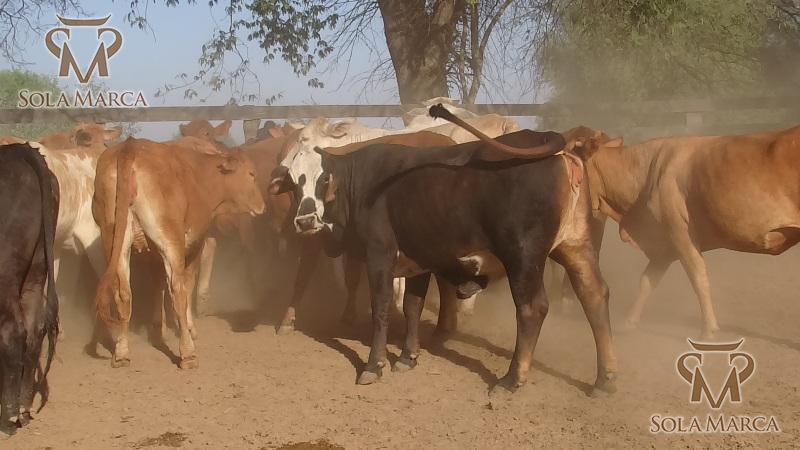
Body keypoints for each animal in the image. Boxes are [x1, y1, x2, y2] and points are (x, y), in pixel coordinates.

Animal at [91, 138, 265, 369]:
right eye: (252, 174)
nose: (262, 206)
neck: (201, 174)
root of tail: (130, 148)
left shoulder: (153, 254)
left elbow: (157, 284)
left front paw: (159, 327)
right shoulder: (194, 244)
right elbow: (187, 285)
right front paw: (190, 328)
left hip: (113, 241)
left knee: (123, 294)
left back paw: (121, 352)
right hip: (170, 239)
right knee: (178, 290)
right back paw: (188, 353)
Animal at [269, 105, 618, 398]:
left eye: (324, 179)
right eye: (293, 183)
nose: (303, 220)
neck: (360, 182)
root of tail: (552, 144)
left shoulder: (380, 255)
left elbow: (381, 309)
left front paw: (373, 365)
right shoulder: (418, 260)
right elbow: (412, 306)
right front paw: (408, 356)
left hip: (523, 255)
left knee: (532, 309)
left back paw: (511, 379)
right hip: (576, 246)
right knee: (594, 295)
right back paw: (605, 378)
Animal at [572, 124, 800, 339]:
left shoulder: (680, 233)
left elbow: (698, 278)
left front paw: (708, 331)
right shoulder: (663, 243)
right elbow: (647, 281)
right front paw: (628, 323)